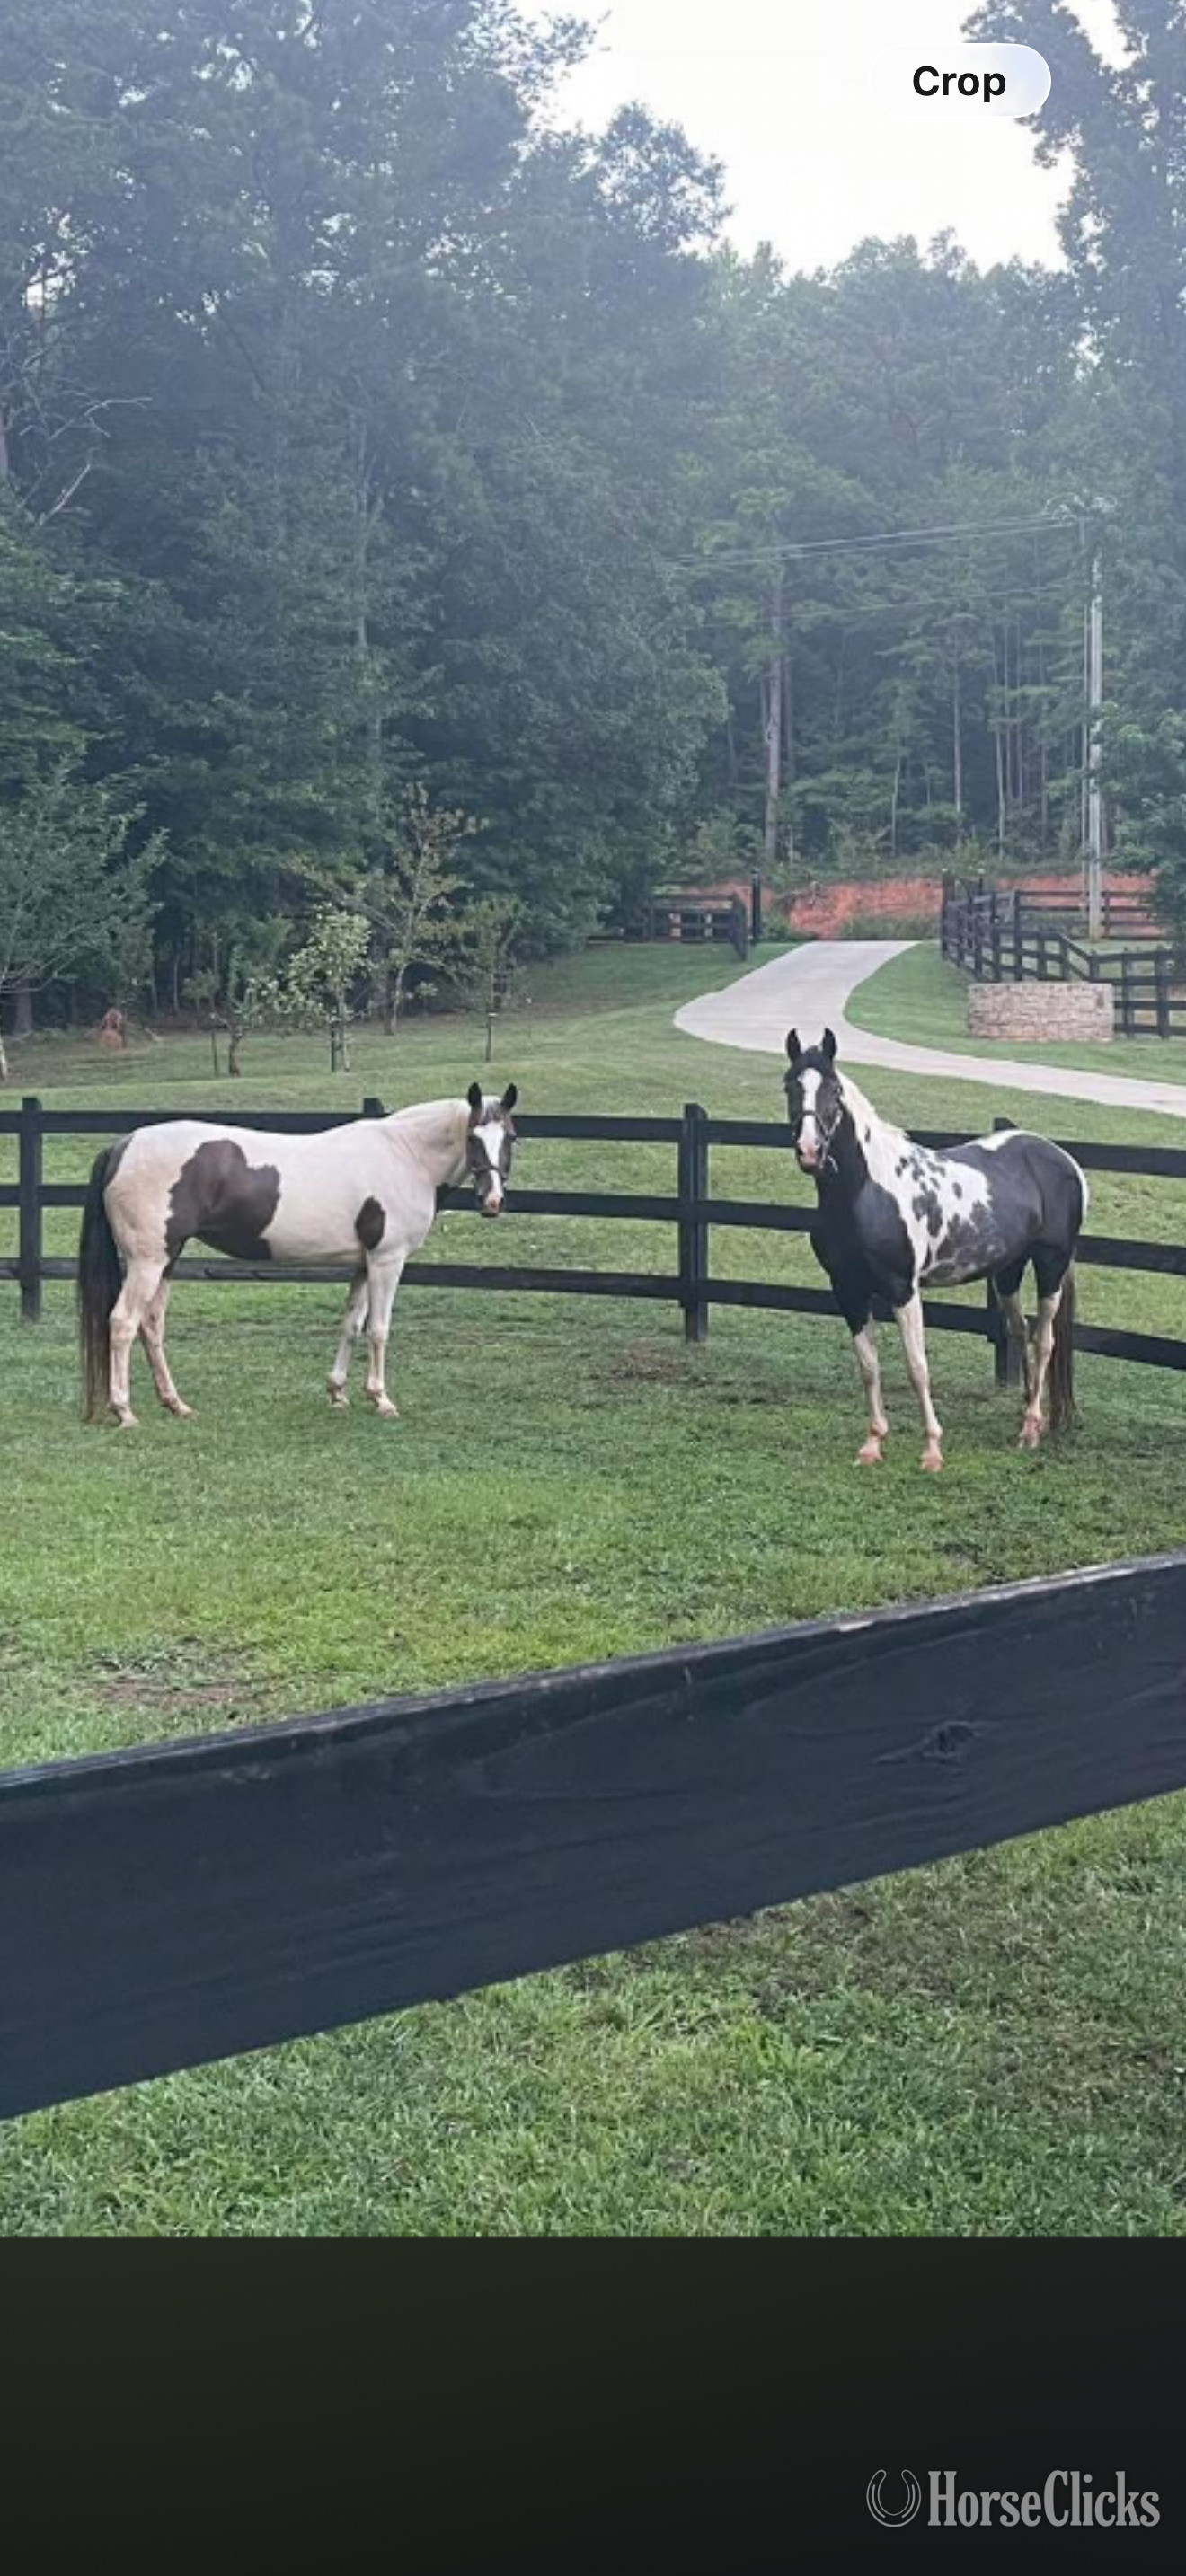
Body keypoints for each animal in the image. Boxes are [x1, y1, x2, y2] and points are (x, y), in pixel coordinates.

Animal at [78, 1082, 518, 1428]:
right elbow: (378, 1330)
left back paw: (176, 1405)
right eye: (474, 1137)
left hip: (166, 1259)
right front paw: (381, 1399)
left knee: (151, 1325)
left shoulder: (363, 1263)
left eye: (510, 1137)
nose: (492, 1201)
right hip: (148, 1261)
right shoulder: (387, 1261)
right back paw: (124, 1411)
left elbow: (351, 1326)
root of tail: (122, 1145)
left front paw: (338, 1393)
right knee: (122, 1323)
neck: (406, 1156)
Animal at [783, 1030, 1085, 1471]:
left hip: (1051, 1265)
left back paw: (1030, 1430)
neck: (865, 1192)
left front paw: (932, 1451)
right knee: (1020, 1331)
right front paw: (873, 1443)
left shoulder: (902, 1289)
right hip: (1008, 1272)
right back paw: (1030, 1417)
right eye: (790, 1086)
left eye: (834, 1089)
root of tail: (1062, 1158)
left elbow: (917, 1366)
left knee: (1045, 1340)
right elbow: (868, 1366)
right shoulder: (848, 1289)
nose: (809, 1151)